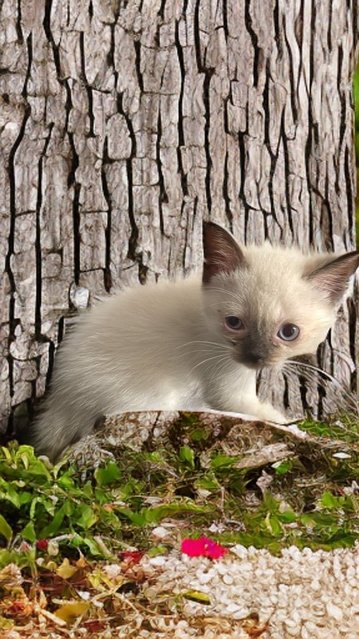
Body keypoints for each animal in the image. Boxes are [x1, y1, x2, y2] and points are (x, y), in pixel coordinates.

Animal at [31, 221, 359, 460]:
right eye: (234, 323)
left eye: (289, 332)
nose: (255, 358)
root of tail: (58, 405)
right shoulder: (227, 386)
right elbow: (273, 417)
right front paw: (305, 432)